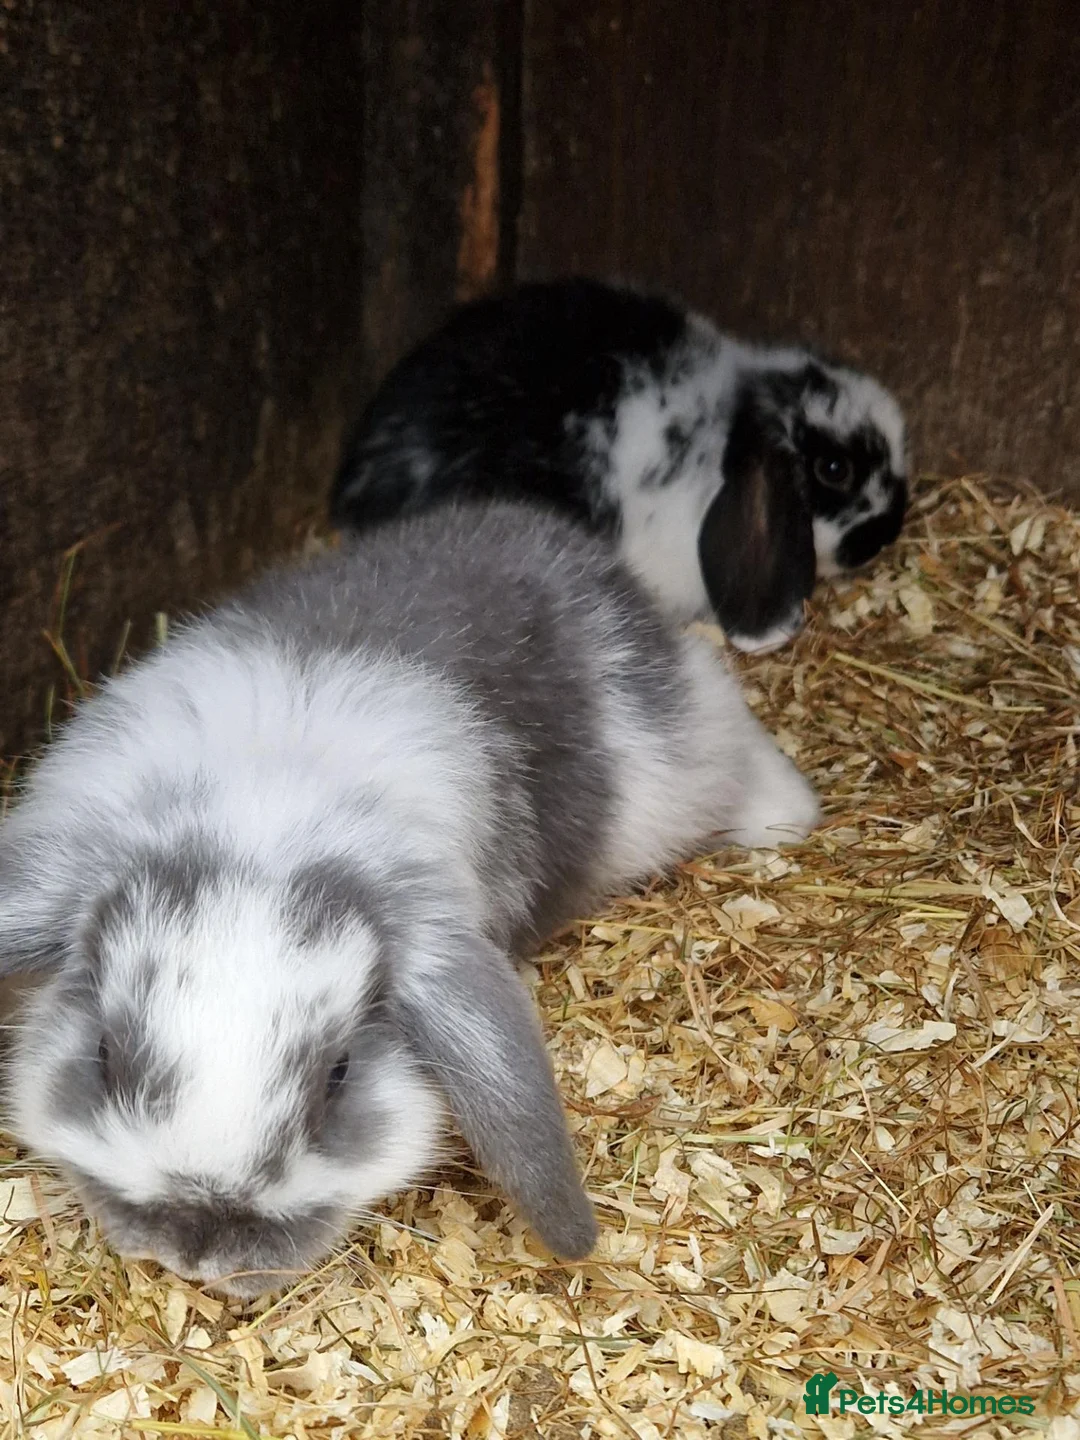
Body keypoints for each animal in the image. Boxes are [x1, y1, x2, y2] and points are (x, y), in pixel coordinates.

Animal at [0, 501, 819, 1298]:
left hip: (681, 753)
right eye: (103, 1055)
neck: (260, 819)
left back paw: (788, 815)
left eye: (339, 1076)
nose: (199, 1251)